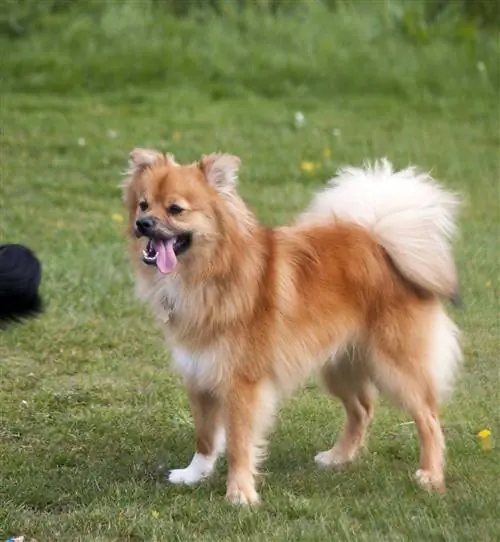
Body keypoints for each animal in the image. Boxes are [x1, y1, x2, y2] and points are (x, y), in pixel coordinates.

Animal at [123, 149, 462, 506]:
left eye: (175, 209)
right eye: (143, 204)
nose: (143, 224)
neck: (211, 275)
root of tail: (380, 241)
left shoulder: (241, 384)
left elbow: (239, 444)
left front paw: (240, 493)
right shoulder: (200, 373)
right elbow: (205, 436)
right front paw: (194, 474)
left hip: (396, 366)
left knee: (428, 418)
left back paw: (431, 475)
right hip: (339, 365)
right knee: (363, 409)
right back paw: (339, 457)